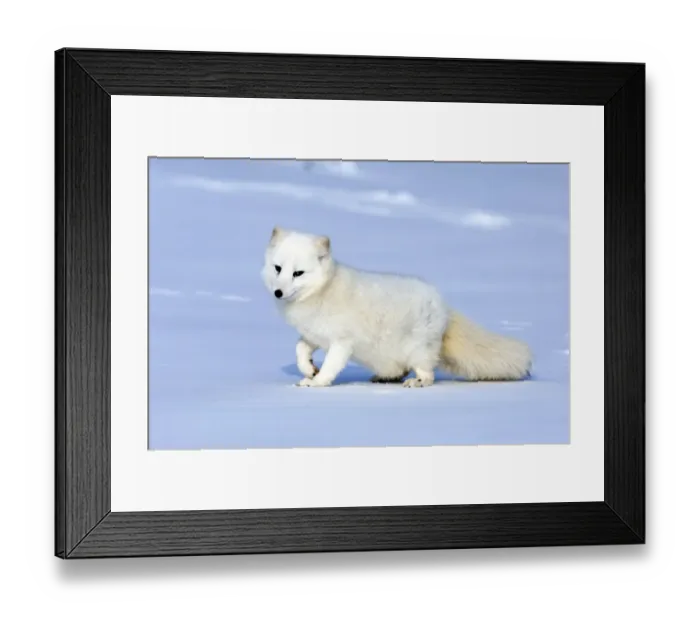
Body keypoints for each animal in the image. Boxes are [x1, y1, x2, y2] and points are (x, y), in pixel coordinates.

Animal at [261, 227, 533, 388]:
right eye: (278, 268)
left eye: (298, 273)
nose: (278, 293)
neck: (321, 291)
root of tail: (444, 306)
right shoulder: (314, 335)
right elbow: (299, 350)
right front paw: (309, 369)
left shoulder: (342, 342)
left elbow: (330, 366)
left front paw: (317, 382)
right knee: (400, 369)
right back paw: (385, 378)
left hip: (418, 349)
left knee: (429, 375)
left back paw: (415, 382)